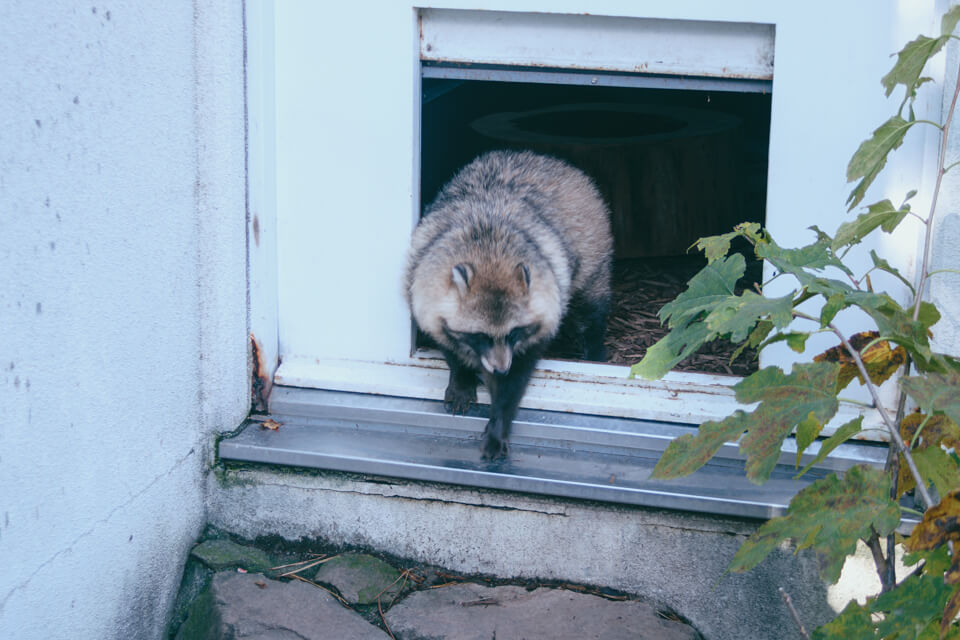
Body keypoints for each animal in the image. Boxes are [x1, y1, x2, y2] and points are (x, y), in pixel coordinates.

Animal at [404, 150, 616, 460]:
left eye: (514, 332)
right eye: (480, 335)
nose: (500, 369)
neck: (488, 253)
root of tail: (544, 157)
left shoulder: (544, 306)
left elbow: (518, 373)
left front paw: (498, 423)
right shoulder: (423, 283)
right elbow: (446, 339)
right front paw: (461, 376)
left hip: (593, 248)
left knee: (591, 306)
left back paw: (594, 347)